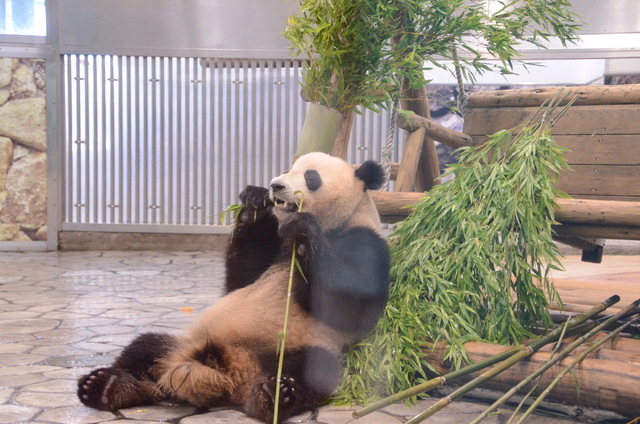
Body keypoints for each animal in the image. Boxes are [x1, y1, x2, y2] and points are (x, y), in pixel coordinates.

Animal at [78, 152, 392, 420]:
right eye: (288, 169)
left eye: (310, 176)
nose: (276, 186)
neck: (338, 223)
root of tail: (235, 373)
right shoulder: (271, 251)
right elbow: (241, 277)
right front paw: (254, 202)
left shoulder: (366, 243)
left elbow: (349, 305)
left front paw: (303, 233)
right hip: (185, 343)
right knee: (145, 350)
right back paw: (106, 388)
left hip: (302, 348)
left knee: (316, 370)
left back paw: (274, 396)